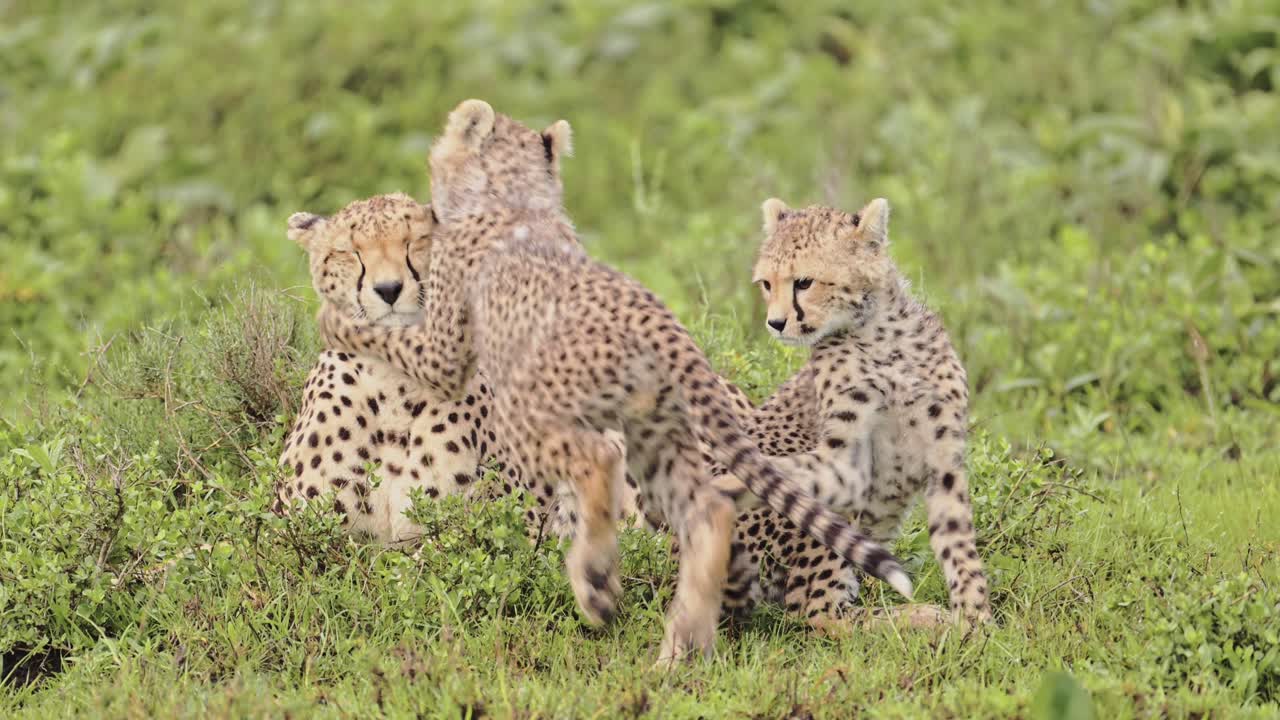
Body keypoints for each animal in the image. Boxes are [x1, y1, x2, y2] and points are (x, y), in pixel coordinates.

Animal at [315, 99, 913, 662]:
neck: (514, 196)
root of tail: (656, 318)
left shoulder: (445, 348)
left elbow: (395, 337)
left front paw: (335, 319)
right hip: (659, 438)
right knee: (706, 509)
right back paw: (685, 639)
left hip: (539, 413)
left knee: (598, 461)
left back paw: (596, 580)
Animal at [717, 196, 992, 627]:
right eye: (766, 284)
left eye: (804, 282)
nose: (775, 323)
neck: (880, 333)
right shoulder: (840, 457)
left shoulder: (944, 456)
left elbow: (958, 543)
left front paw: (978, 622)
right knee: (816, 608)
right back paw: (917, 618)